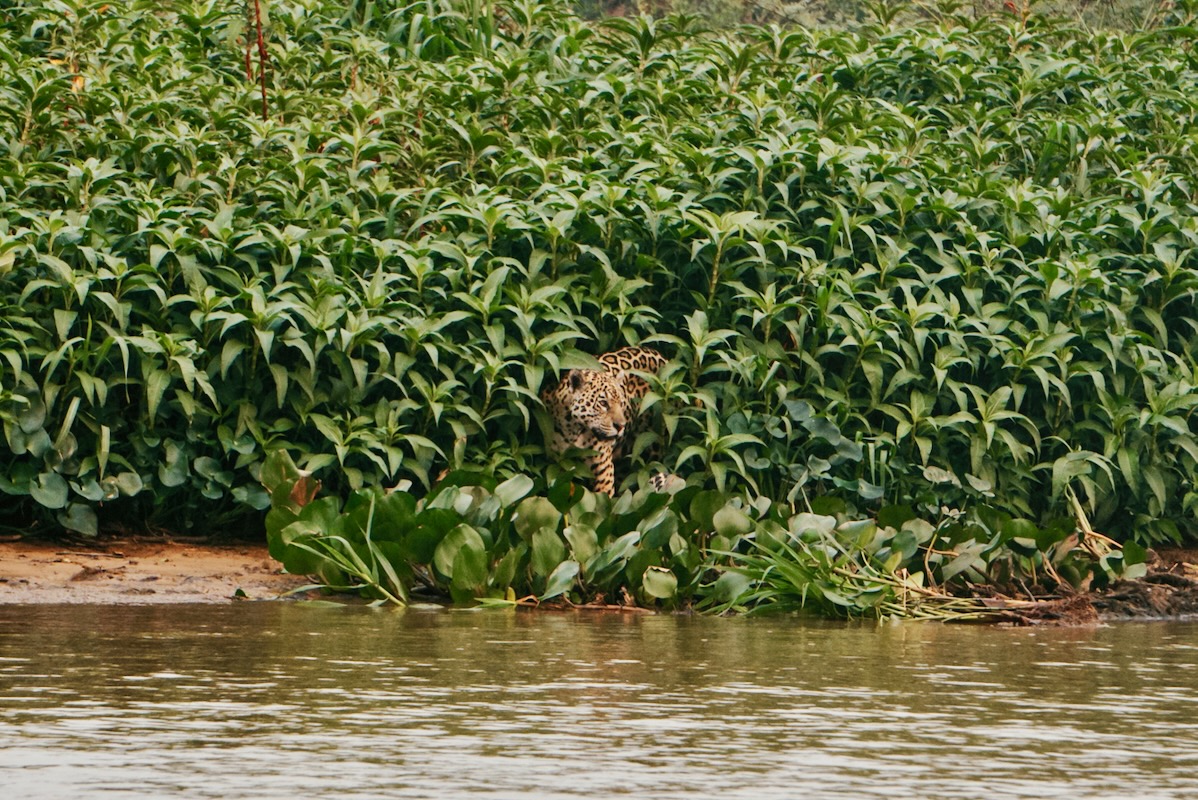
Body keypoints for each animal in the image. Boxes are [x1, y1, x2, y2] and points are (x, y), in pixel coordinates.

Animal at [541, 346, 667, 495]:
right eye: (603, 403)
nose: (621, 426)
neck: (573, 430)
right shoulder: (557, 463)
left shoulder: (603, 469)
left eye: (621, 403)